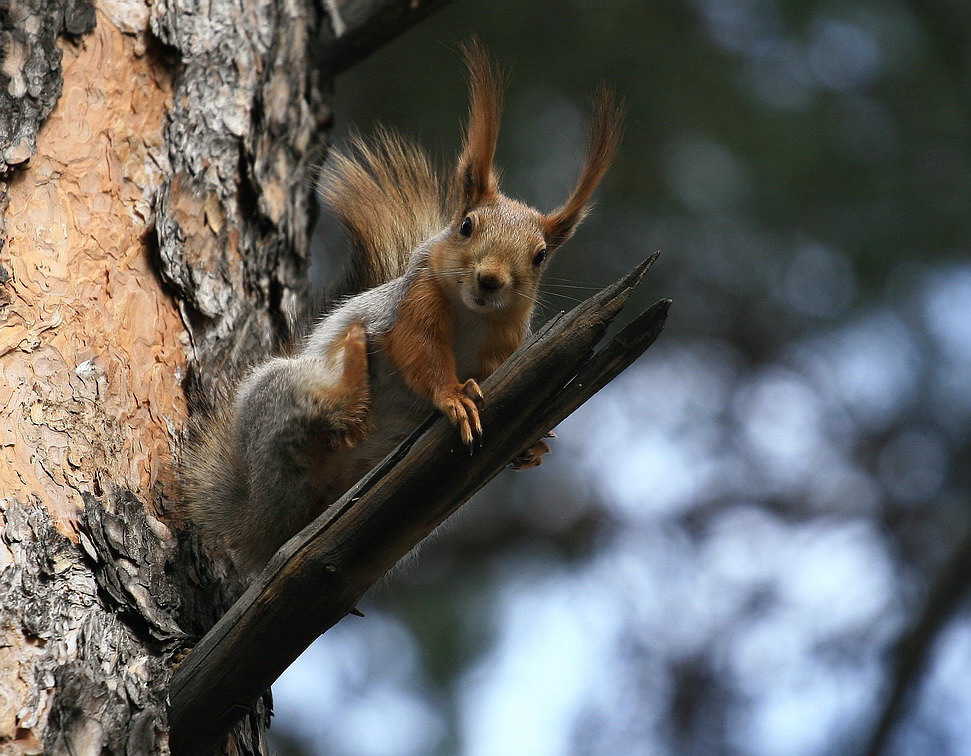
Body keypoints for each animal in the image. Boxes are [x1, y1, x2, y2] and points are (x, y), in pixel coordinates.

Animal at [180, 41, 624, 576]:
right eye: (466, 226)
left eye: (540, 257)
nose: (491, 280)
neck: (473, 316)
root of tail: (261, 533)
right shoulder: (413, 303)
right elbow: (418, 352)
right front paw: (452, 397)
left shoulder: (510, 339)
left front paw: (531, 445)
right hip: (279, 397)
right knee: (318, 415)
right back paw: (351, 377)